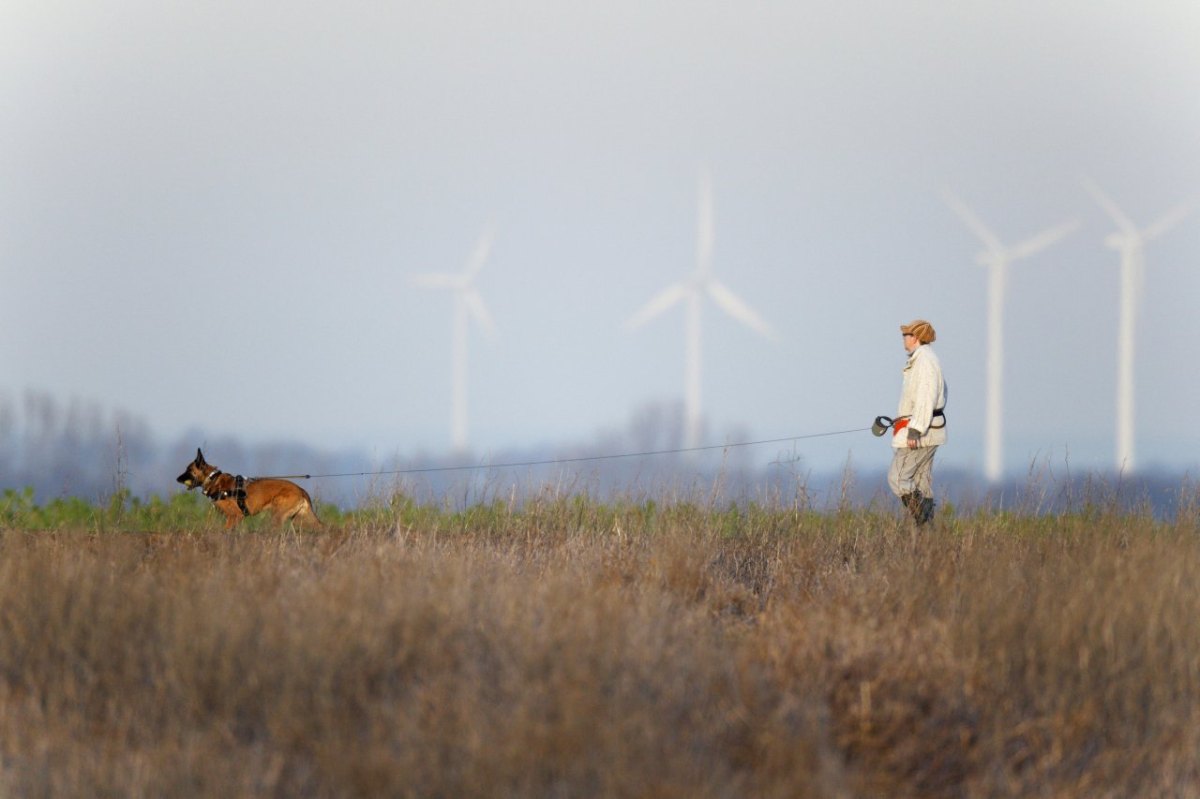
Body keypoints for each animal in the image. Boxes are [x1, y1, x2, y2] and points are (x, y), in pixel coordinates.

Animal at [175, 448, 321, 527]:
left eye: (188, 470)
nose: (177, 479)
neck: (212, 478)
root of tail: (301, 490)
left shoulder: (235, 516)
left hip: (277, 517)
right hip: (301, 520)